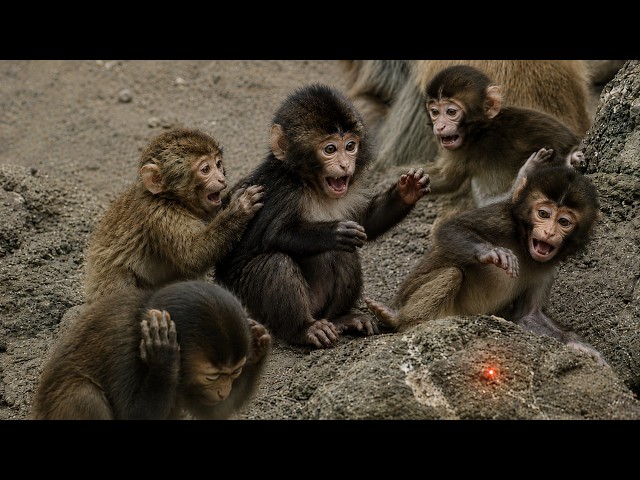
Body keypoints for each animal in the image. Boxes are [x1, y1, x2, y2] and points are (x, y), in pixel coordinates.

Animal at [31, 280, 271, 420]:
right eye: (212, 377)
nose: (223, 391)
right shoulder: (123, 349)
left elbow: (213, 411)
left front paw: (259, 343)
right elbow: (132, 416)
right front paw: (164, 357)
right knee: (84, 395)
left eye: (235, 373)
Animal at [83, 127, 264, 304]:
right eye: (206, 169)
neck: (170, 198)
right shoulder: (161, 214)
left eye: (218, 164)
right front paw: (240, 209)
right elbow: (193, 256)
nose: (221, 178)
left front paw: (235, 194)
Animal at [214, 83, 430, 349]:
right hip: (252, 309)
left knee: (345, 255)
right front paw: (335, 231)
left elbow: (365, 223)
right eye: (330, 149)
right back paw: (303, 330)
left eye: (350, 146)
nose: (345, 165)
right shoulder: (282, 190)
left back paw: (340, 319)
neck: (311, 186)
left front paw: (407, 190)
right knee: (276, 262)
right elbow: (273, 235)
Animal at [364, 147, 607, 366]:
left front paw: (577, 345)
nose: (548, 233)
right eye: (543, 214)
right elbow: (450, 229)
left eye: (564, 221)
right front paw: (492, 252)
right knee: (452, 273)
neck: (523, 243)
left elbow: (529, 315)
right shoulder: (502, 218)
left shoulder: (549, 269)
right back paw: (400, 319)